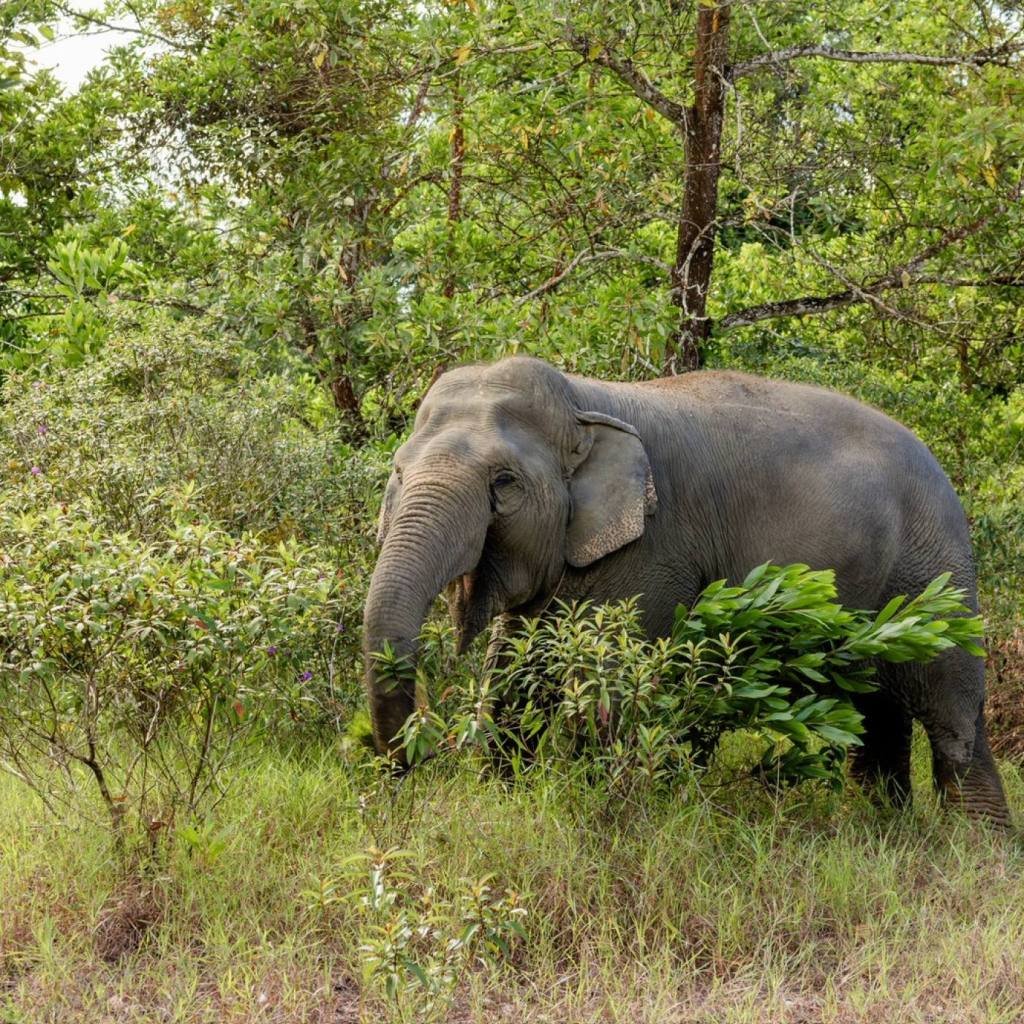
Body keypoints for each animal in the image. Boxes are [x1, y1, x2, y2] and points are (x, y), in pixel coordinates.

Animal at [362, 355, 1010, 826]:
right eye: (397, 472)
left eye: (504, 482)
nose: (407, 770)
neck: (583, 400)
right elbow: (516, 677)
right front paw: (506, 798)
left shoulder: (655, 552)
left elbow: (615, 692)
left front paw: (608, 813)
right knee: (876, 712)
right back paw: (881, 829)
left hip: (935, 569)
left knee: (951, 712)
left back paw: (975, 849)